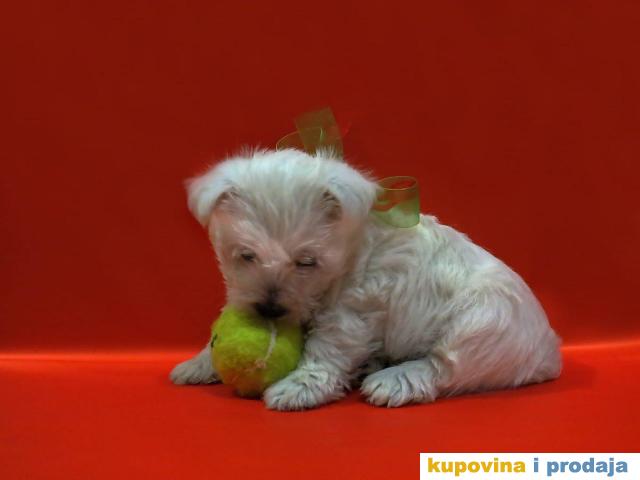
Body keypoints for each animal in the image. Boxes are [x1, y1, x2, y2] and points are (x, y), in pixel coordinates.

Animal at [170, 148, 561, 410]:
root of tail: (550, 351)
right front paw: (199, 363)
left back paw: (393, 379)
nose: (269, 310)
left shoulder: (353, 310)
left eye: (306, 262)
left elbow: (327, 349)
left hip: (483, 321)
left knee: (444, 366)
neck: (348, 254)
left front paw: (298, 387)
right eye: (246, 256)